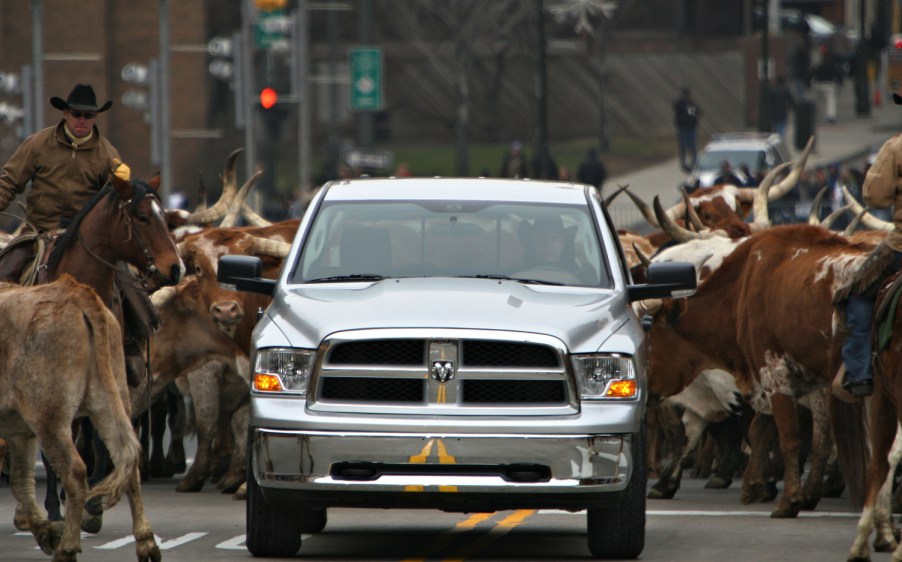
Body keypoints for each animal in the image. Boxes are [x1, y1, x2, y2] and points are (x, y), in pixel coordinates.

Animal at [0, 276, 161, 560]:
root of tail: (77, 294)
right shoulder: (19, 432)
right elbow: (21, 481)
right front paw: (45, 531)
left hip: (51, 420)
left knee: (74, 471)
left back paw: (67, 547)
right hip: (110, 401)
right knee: (128, 463)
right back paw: (146, 543)